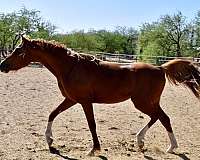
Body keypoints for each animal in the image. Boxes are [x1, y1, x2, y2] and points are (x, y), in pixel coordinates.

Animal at [0, 37, 200, 156]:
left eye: (18, 51)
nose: (2, 65)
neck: (70, 67)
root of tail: (160, 68)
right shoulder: (71, 100)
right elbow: (52, 114)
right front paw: (49, 140)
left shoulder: (85, 102)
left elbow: (92, 124)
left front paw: (94, 149)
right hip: (148, 102)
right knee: (159, 117)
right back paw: (142, 141)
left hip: (142, 102)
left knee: (162, 118)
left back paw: (169, 146)